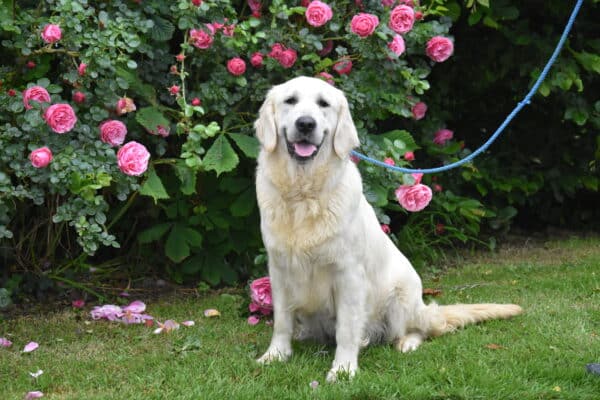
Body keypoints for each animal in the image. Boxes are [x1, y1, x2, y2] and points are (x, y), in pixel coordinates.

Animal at [253, 77, 520, 382]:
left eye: (323, 104)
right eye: (290, 101)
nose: (306, 124)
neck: (302, 193)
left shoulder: (349, 274)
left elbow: (347, 329)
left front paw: (343, 369)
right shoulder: (279, 269)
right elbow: (282, 321)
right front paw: (275, 354)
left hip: (401, 297)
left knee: (419, 329)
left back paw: (406, 342)